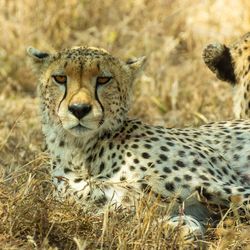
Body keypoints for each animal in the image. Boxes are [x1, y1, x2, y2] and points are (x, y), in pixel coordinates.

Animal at [26, 46, 250, 241]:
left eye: (104, 79)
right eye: (60, 78)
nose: (79, 109)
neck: (82, 153)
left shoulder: (224, 184)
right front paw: (177, 229)